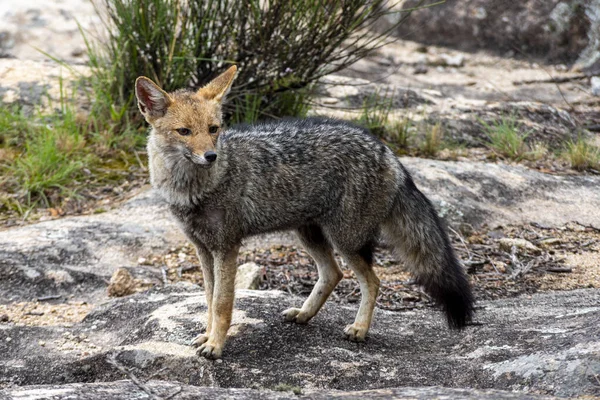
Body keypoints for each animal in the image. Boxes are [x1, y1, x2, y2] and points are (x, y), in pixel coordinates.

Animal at [135, 65, 474, 360]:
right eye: (184, 131)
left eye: (213, 129)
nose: (210, 155)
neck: (192, 189)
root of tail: (387, 151)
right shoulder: (204, 249)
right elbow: (208, 298)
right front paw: (207, 335)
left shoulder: (226, 247)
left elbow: (221, 302)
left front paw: (216, 345)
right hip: (309, 235)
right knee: (334, 274)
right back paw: (304, 314)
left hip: (345, 240)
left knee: (373, 281)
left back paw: (359, 329)